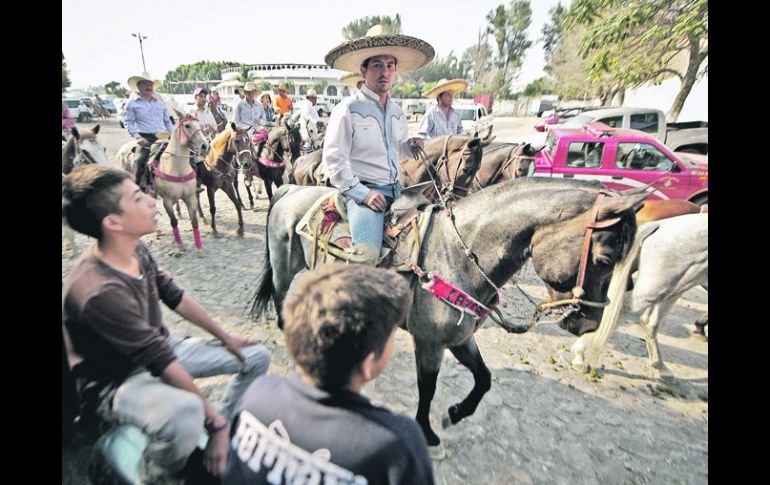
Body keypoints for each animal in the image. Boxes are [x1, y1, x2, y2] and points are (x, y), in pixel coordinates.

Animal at [249, 177, 644, 450]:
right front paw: (426, 431)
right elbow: (427, 388)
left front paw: (455, 414)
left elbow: (484, 379)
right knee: (283, 305)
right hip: (284, 270)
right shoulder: (429, 342)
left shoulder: (459, 337)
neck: (458, 255)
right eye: (605, 258)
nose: (589, 322)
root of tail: (289, 188)